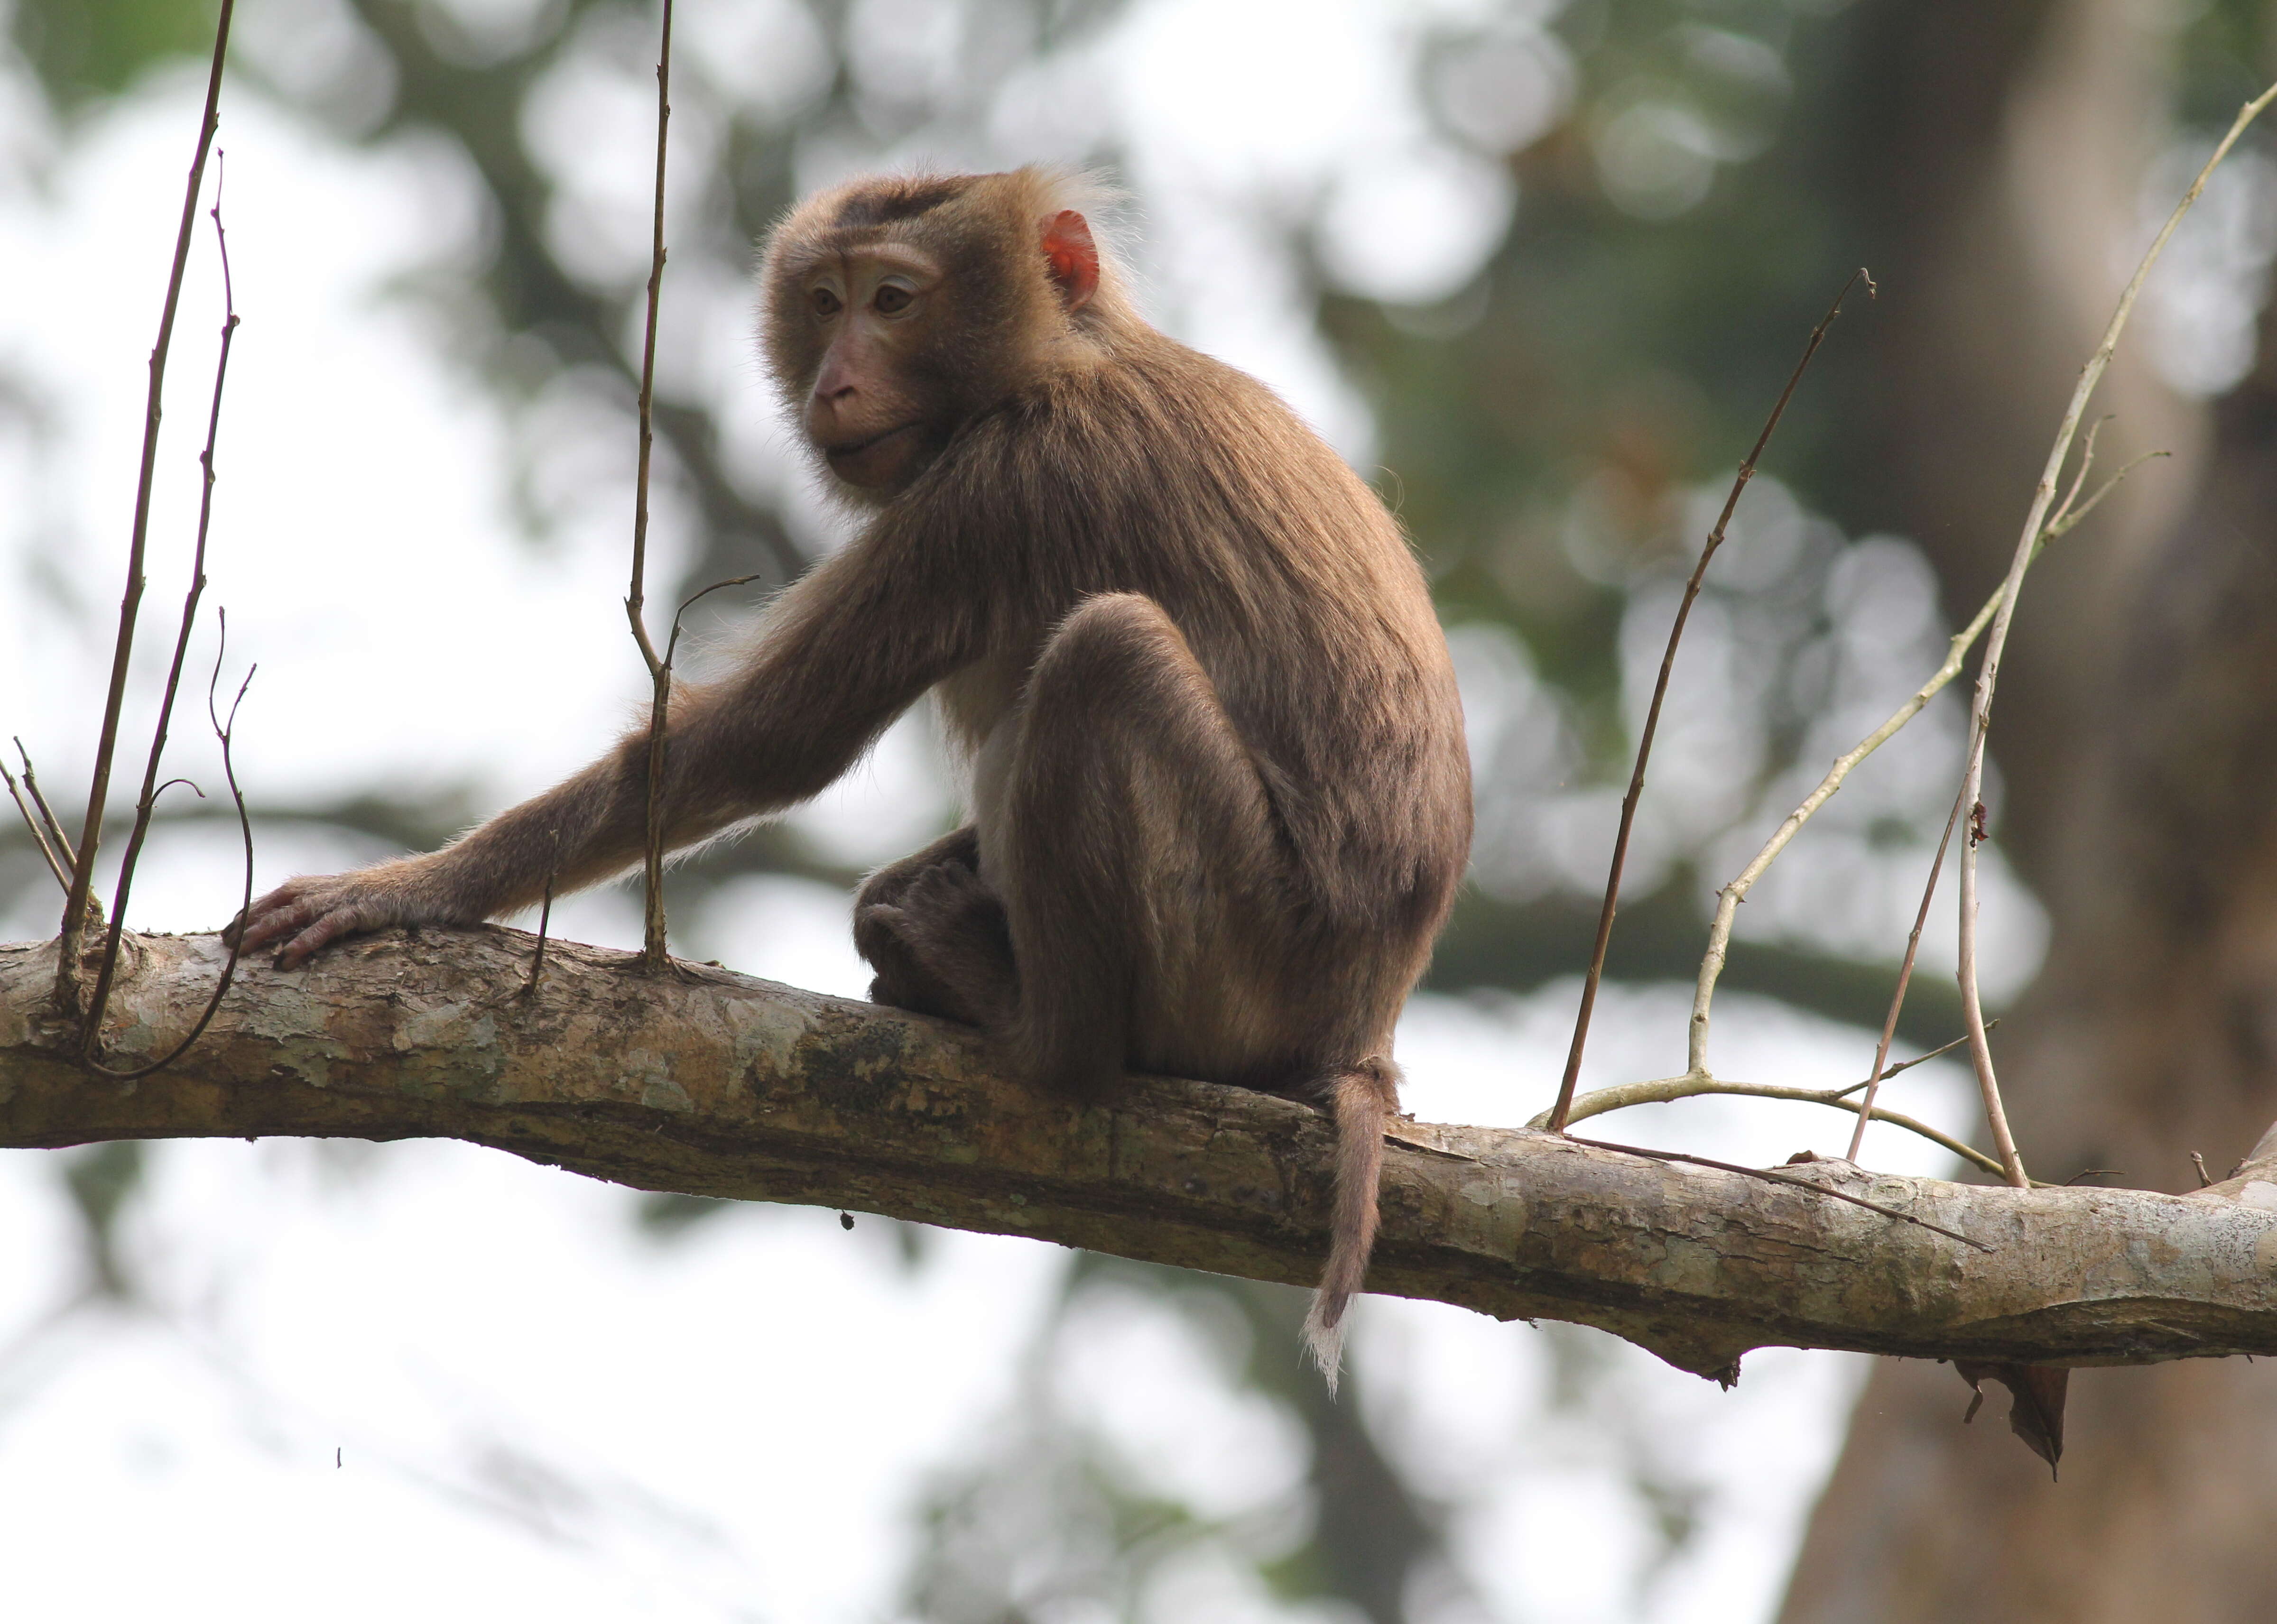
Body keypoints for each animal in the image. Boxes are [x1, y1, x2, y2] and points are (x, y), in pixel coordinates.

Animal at [231, 167, 1466, 1384]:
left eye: (893, 301)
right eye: (824, 304)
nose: (835, 382)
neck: (1065, 357)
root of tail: (1362, 1030)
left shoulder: (999, 485)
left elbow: (764, 742)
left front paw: (405, 890)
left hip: (1247, 956)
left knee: (1103, 652)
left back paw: (1034, 1028)